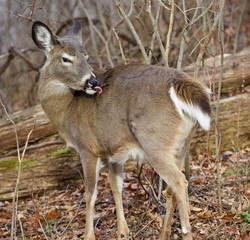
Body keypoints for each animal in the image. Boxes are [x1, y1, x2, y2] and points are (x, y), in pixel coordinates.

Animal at [31, 21, 211, 240]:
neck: (67, 112)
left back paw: (185, 231)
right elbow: (116, 187)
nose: (92, 82)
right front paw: (122, 232)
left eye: (86, 56)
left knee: (178, 181)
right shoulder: (113, 151)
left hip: (154, 140)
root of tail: (178, 84)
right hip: (181, 143)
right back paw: (163, 234)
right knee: (170, 189)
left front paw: (89, 235)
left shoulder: (87, 148)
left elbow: (90, 194)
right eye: (66, 58)